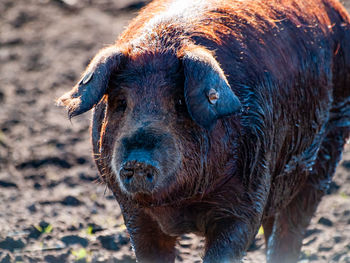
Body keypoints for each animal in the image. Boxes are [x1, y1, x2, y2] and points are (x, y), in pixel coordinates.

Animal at [56, 0, 350, 262]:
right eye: (120, 102)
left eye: (179, 102)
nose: (138, 160)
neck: (181, 203)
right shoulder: (133, 210)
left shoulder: (248, 194)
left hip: (328, 148)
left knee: (292, 226)